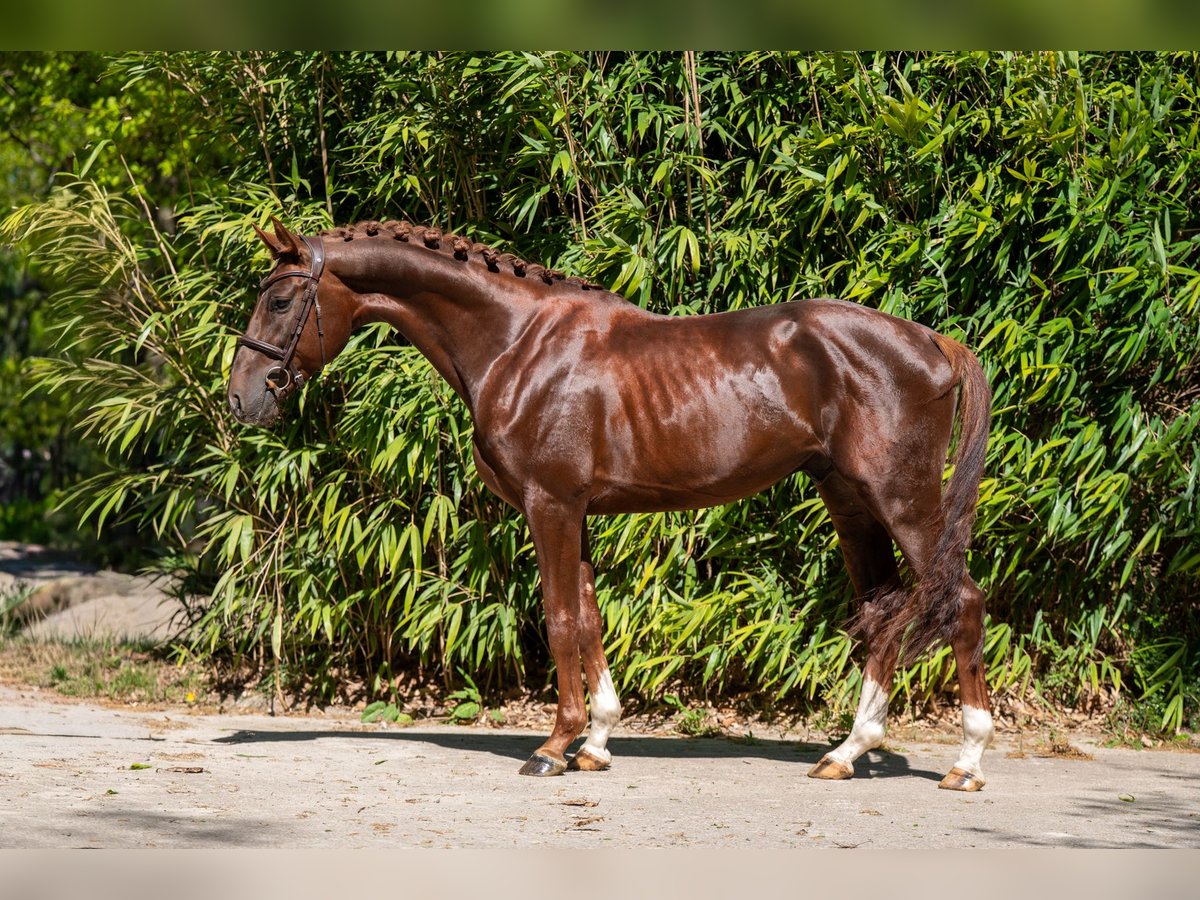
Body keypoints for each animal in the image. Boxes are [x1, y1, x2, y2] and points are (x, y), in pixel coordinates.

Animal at [228, 217, 994, 791]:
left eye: (280, 301)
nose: (242, 399)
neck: (516, 343)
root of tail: (932, 341)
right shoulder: (579, 514)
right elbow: (591, 618)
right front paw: (594, 742)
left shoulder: (551, 506)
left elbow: (560, 618)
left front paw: (552, 746)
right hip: (848, 498)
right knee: (885, 609)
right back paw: (846, 752)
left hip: (901, 497)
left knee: (961, 600)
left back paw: (965, 761)